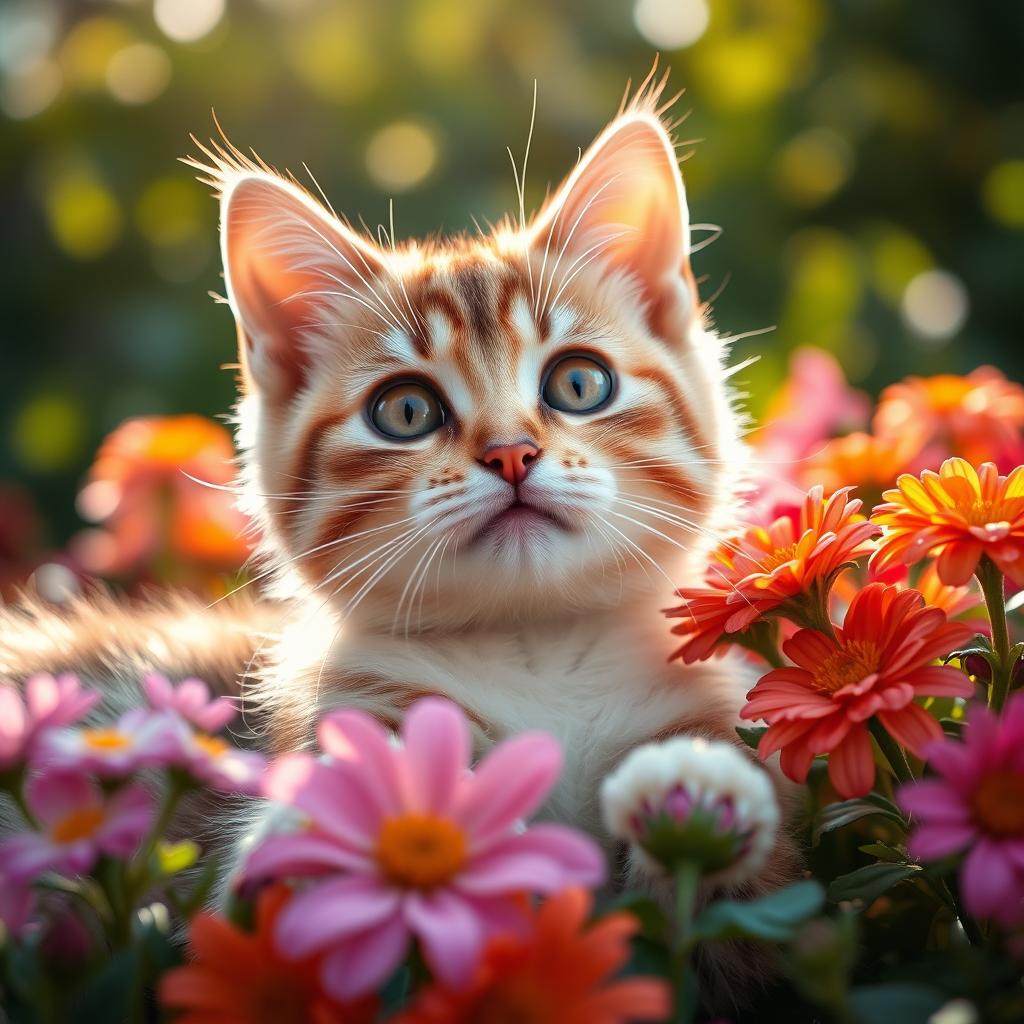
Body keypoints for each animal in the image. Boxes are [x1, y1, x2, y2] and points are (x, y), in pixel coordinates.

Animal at [0, 75, 798, 1011]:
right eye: (407, 410)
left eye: (578, 383)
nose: (511, 453)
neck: (535, 652)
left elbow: (742, 926)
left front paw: (697, 790)